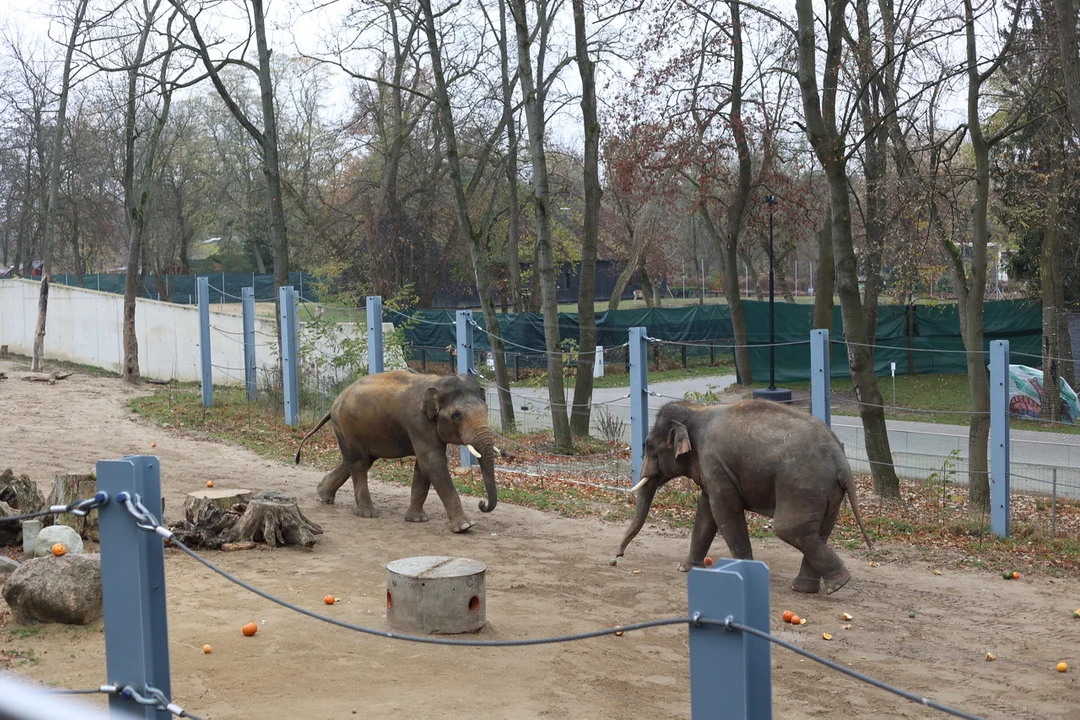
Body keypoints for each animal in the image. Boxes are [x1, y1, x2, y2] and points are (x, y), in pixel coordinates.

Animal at [293, 371, 498, 535]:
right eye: (457, 415)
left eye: (486, 410)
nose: (482, 504)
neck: (437, 382)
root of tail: (335, 402)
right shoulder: (418, 422)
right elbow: (432, 463)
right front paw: (465, 526)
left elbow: (423, 466)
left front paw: (417, 520)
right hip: (346, 424)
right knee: (359, 463)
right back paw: (366, 513)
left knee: (356, 460)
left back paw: (323, 494)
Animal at [613, 397, 872, 595]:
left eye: (649, 446)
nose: (617, 555)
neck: (696, 411)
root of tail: (842, 461)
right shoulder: (713, 468)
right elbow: (706, 513)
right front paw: (685, 568)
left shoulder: (714, 461)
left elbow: (724, 510)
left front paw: (746, 574)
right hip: (828, 493)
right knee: (818, 531)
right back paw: (811, 587)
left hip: (803, 485)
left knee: (789, 529)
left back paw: (838, 583)